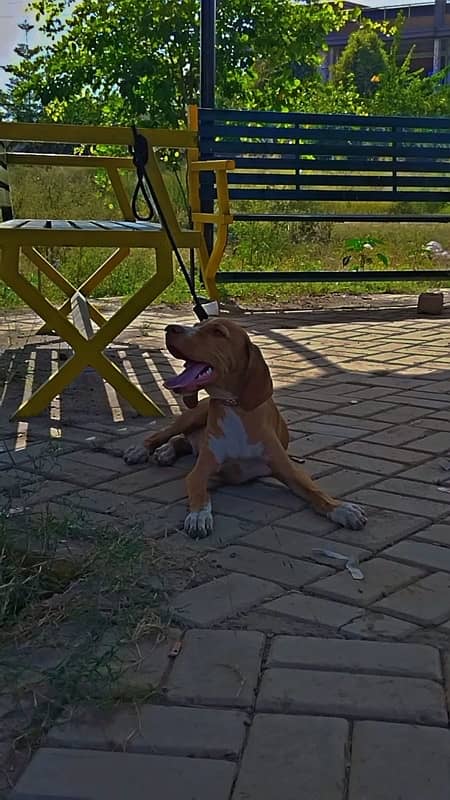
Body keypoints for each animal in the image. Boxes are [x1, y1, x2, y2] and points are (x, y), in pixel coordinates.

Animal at [123, 318, 366, 536]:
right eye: (195, 325)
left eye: (218, 332)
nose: (170, 328)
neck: (234, 408)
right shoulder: (199, 472)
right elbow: (200, 492)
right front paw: (199, 516)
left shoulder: (290, 471)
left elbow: (316, 492)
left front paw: (342, 509)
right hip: (193, 415)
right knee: (164, 434)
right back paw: (143, 450)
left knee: (182, 440)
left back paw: (166, 452)